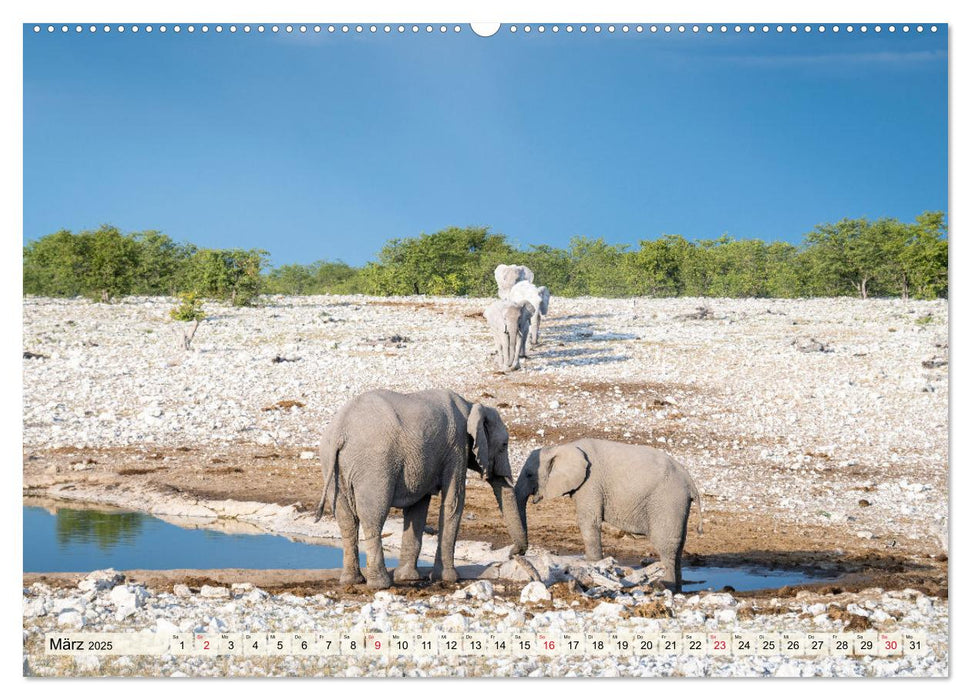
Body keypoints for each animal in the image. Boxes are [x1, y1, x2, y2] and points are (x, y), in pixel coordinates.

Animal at [314, 392, 528, 588]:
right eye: (504, 445)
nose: (514, 554)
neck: (471, 405)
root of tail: (340, 431)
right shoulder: (457, 448)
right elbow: (454, 501)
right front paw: (448, 578)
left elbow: (418, 508)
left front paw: (408, 577)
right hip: (374, 466)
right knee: (373, 516)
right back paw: (380, 585)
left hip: (331, 465)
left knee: (347, 521)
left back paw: (352, 581)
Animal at [512, 438, 704, 592]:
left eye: (529, 474)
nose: (515, 554)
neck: (563, 447)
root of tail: (690, 483)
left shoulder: (590, 483)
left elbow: (589, 521)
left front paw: (593, 567)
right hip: (677, 506)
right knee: (678, 546)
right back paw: (676, 590)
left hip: (668, 501)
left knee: (665, 547)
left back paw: (666, 587)